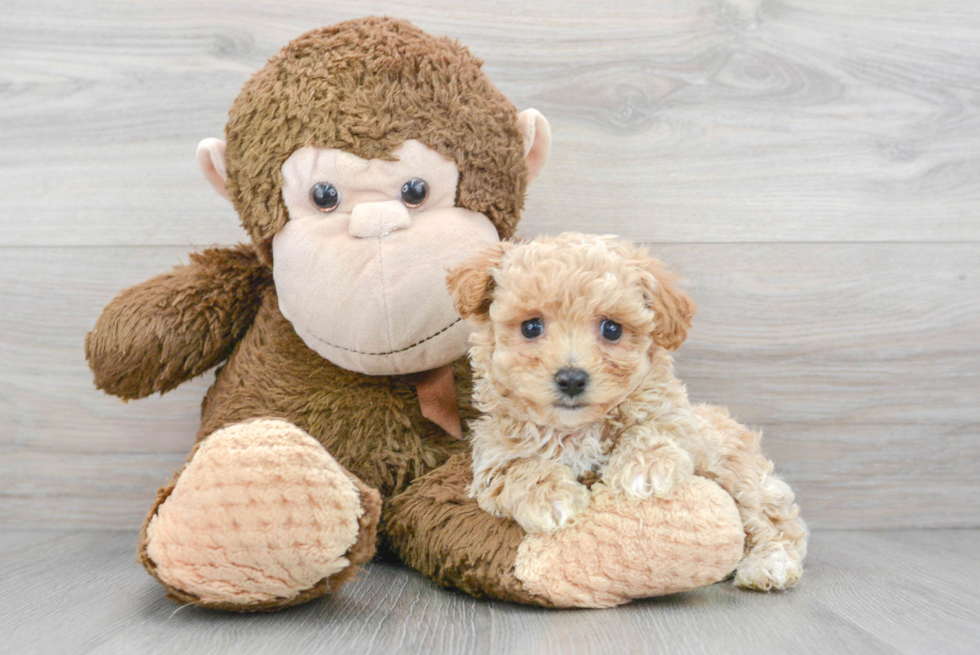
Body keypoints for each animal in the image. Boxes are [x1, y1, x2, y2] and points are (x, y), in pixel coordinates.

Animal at [448, 233, 808, 592]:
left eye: (612, 329)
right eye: (531, 327)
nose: (572, 379)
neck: (576, 429)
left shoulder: (682, 421)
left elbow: (652, 426)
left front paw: (645, 468)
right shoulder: (493, 456)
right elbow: (521, 469)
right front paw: (552, 500)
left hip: (739, 473)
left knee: (774, 523)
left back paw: (768, 565)